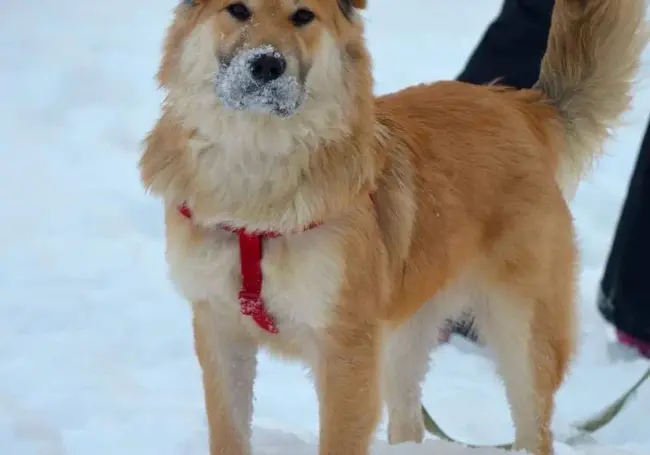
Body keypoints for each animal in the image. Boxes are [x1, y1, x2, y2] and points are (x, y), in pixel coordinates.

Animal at [139, 0, 644, 455]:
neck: (255, 195)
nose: (266, 64)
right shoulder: (220, 330)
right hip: (407, 330)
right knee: (409, 421)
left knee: (533, 429)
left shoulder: (346, 350)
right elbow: (229, 432)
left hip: (521, 330)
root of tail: (521, 106)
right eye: (238, 10)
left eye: (303, 15)